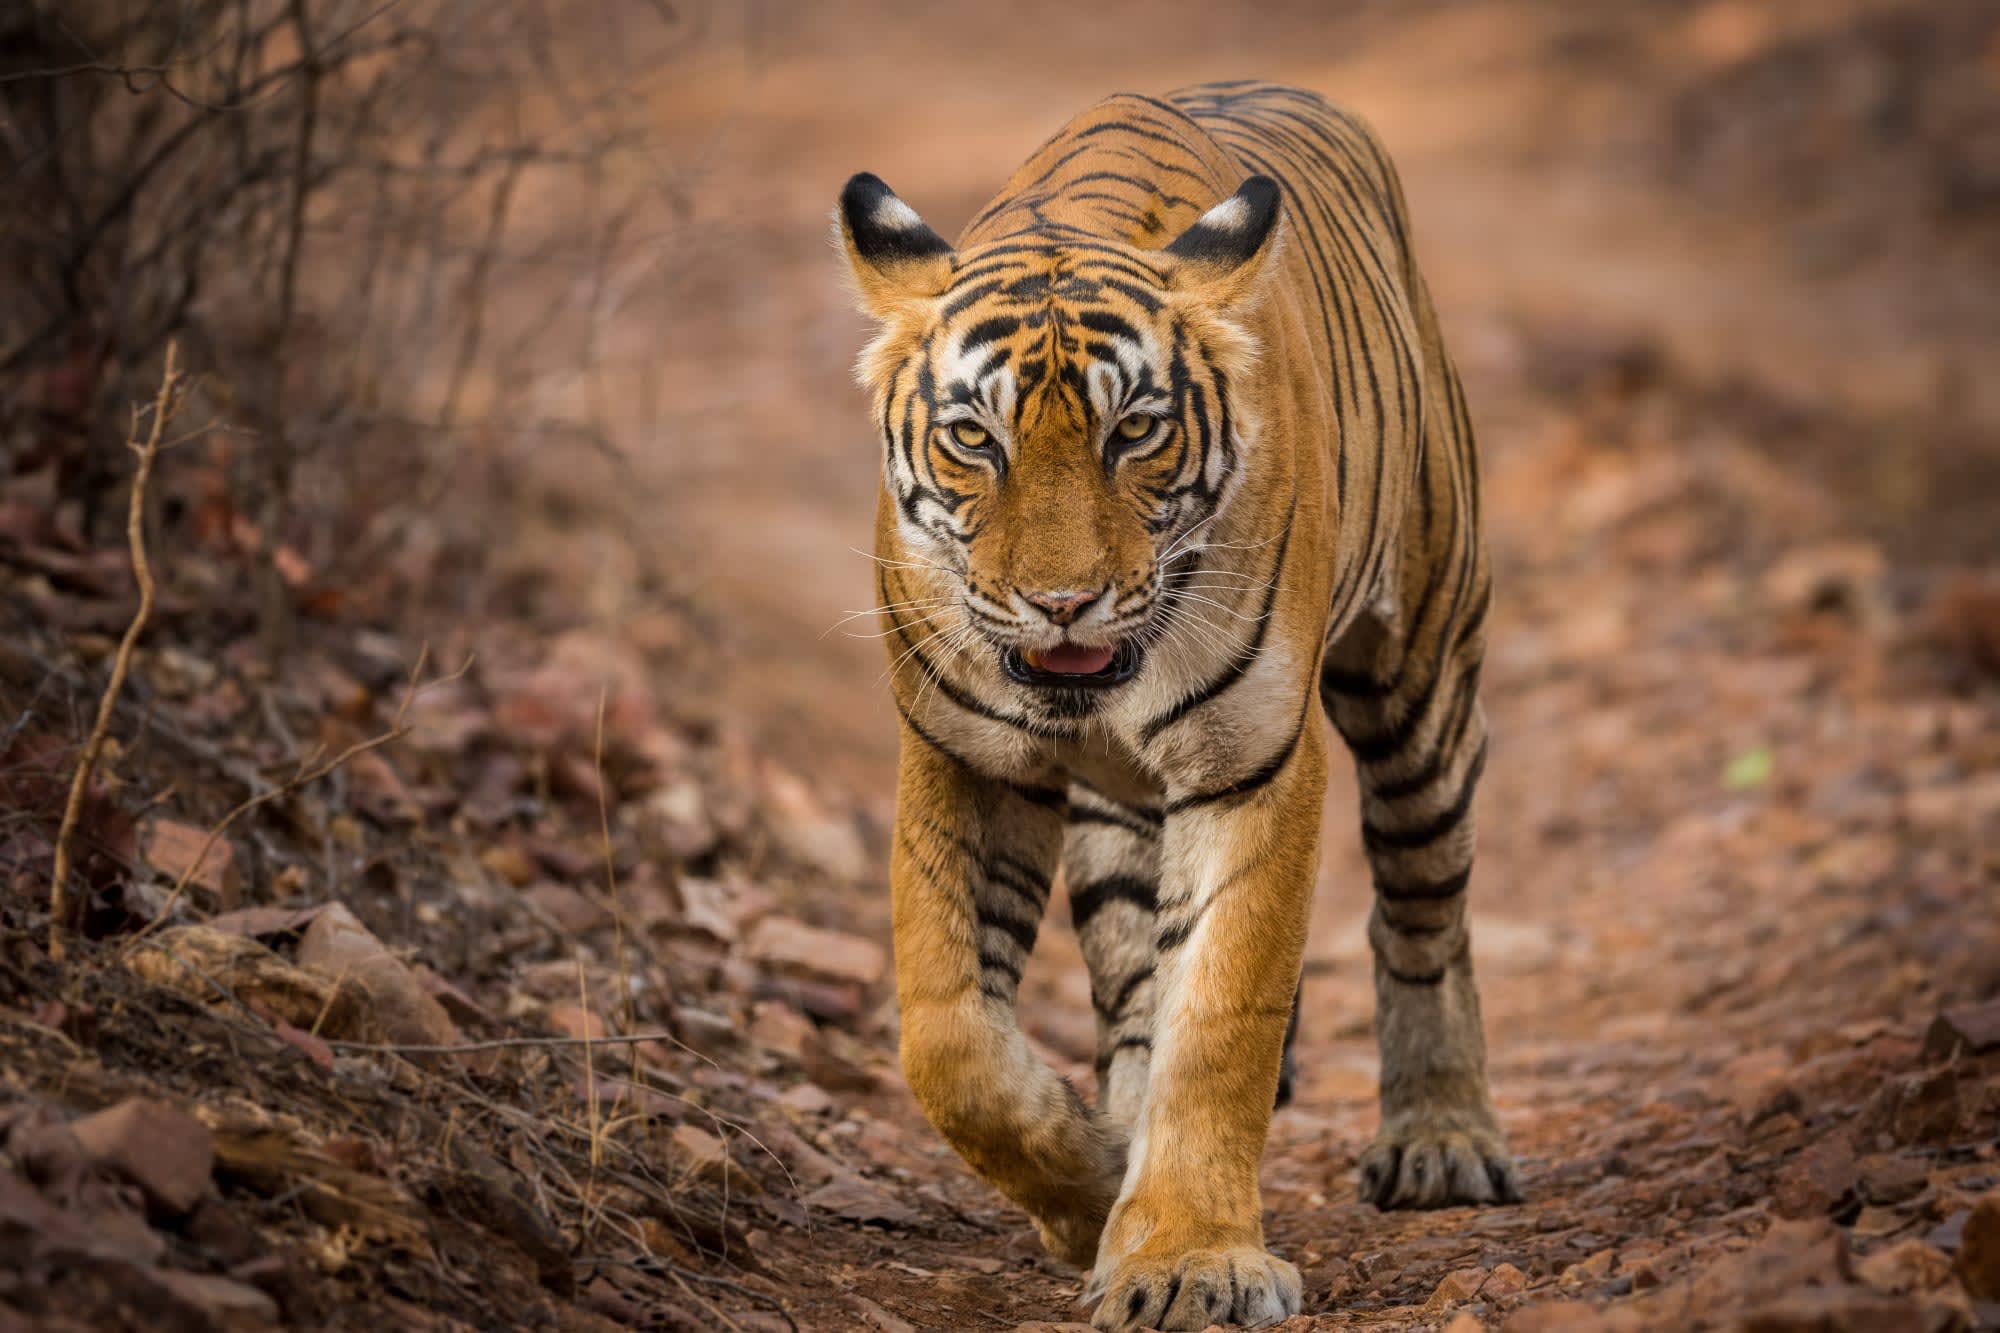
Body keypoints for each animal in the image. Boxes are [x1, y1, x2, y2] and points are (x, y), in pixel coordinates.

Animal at [835, 80, 1518, 1331]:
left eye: (1135, 431)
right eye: (973, 438)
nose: (1061, 603)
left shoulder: (1248, 764)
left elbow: (1220, 1019)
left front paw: (1188, 1258)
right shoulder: (966, 756)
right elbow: (946, 1037)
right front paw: (1090, 1184)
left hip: (1420, 685)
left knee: (1418, 912)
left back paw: (1441, 1139)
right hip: (1120, 819)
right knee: (1127, 978)